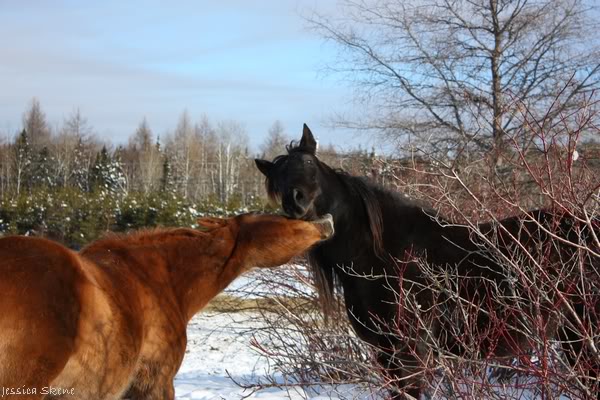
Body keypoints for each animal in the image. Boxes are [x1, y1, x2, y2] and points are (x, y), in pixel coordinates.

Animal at [254, 124, 600, 396]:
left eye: (309, 163)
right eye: (276, 181)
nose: (295, 201)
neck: (381, 254)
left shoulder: (409, 352)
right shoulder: (385, 353)